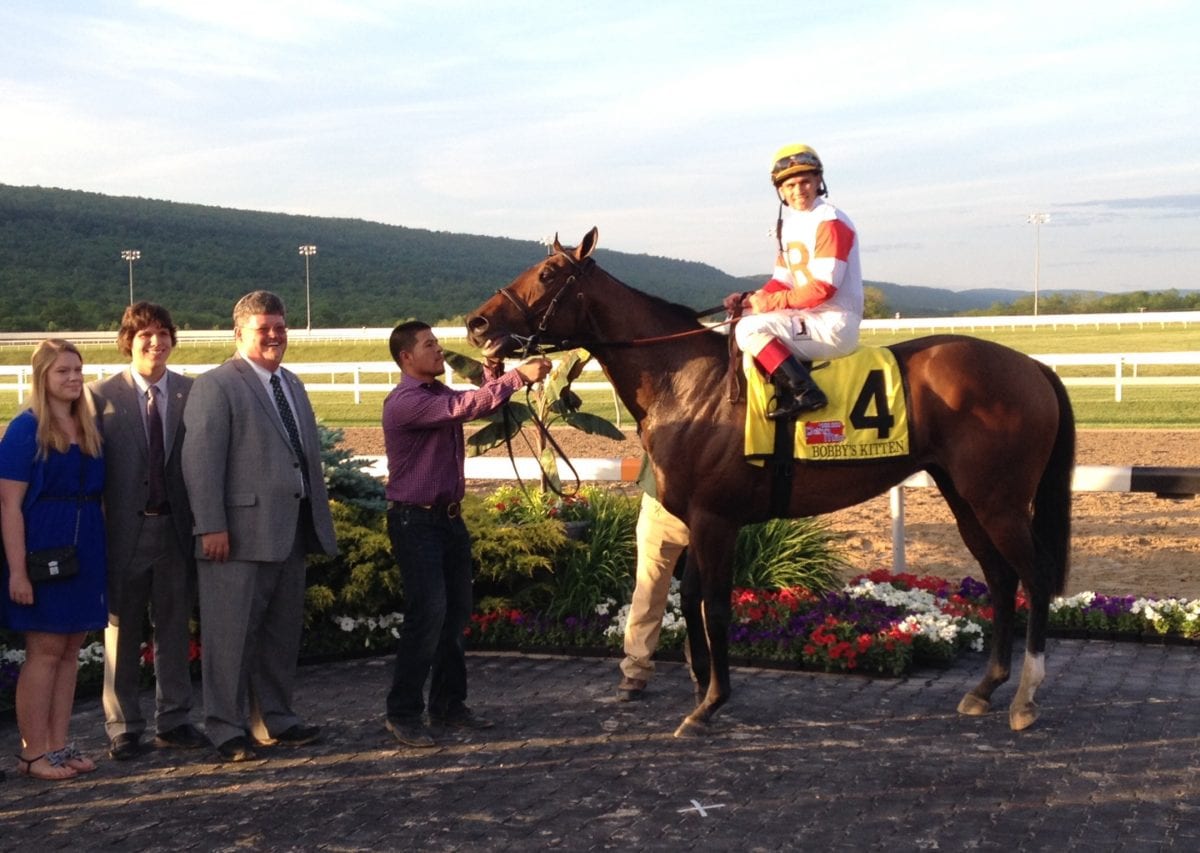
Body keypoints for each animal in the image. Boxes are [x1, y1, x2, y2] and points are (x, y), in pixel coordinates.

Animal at [463, 229, 1075, 739]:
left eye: (547, 272)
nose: (477, 324)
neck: (690, 383)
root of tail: (1034, 367)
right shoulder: (694, 517)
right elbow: (690, 598)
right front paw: (701, 687)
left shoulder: (716, 519)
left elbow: (714, 605)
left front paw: (710, 703)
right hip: (967, 497)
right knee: (1000, 578)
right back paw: (985, 689)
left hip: (998, 501)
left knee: (1034, 576)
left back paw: (1025, 696)